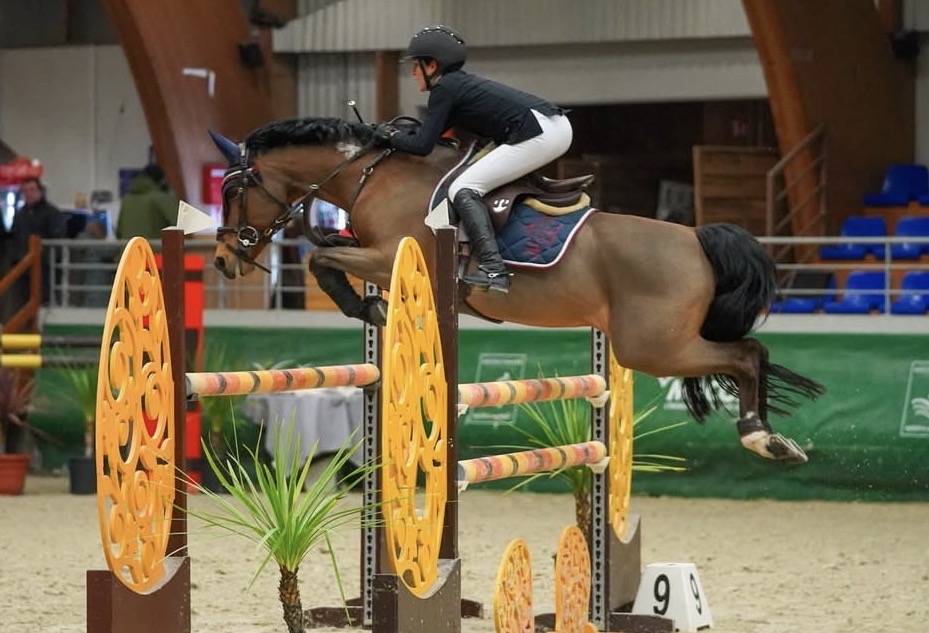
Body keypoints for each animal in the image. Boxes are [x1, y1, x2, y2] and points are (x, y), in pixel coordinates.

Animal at [209, 118, 824, 464]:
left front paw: (366, 305)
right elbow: (327, 251)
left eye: (233, 190)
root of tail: (695, 238)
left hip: (652, 346)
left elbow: (322, 258)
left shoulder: (390, 256)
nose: (221, 259)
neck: (375, 175)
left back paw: (762, 438)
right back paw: (773, 439)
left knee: (746, 353)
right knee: (749, 353)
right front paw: (371, 306)